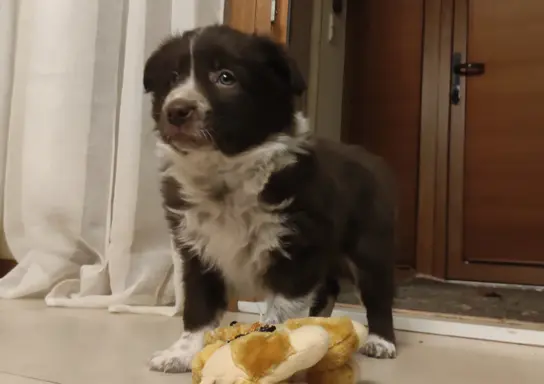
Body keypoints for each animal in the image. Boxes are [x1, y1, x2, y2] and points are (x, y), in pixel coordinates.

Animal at [143, 24, 396, 372]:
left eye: (226, 77)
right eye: (172, 79)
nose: (176, 110)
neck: (224, 174)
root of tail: (370, 158)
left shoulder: (297, 247)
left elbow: (282, 309)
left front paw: (271, 352)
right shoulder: (196, 249)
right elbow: (198, 307)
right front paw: (181, 353)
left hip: (369, 243)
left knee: (377, 292)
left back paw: (381, 341)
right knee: (328, 287)